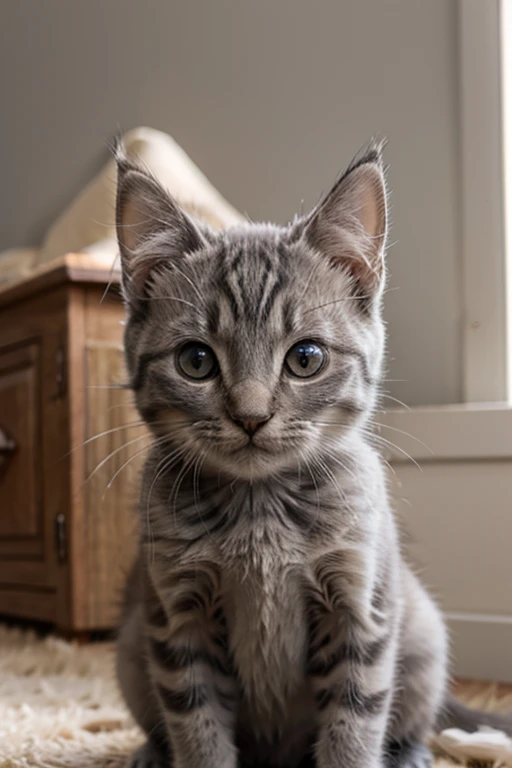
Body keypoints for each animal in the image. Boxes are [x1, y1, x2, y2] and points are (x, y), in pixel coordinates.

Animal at [115, 144, 508, 768]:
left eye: (306, 358)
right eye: (196, 361)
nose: (251, 416)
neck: (260, 512)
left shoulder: (360, 609)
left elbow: (354, 723)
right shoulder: (177, 618)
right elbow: (197, 727)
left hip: (422, 630)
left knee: (416, 714)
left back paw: (412, 752)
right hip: (131, 645)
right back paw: (151, 753)